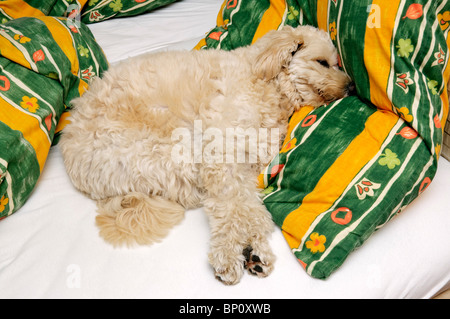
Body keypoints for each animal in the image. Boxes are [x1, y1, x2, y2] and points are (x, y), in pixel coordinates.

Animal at [59, 25, 352, 284]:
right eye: (323, 62)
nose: (350, 87)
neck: (265, 81)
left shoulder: (245, 165)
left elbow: (251, 208)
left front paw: (253, 248)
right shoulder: (221, 154)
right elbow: (232, 207)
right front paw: (231, 253)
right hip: (173, 147)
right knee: (201, 197)